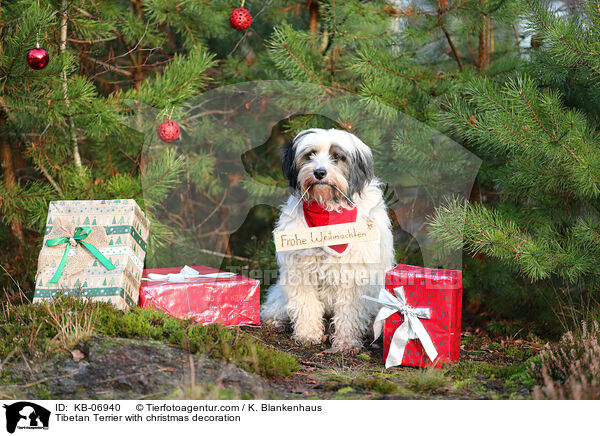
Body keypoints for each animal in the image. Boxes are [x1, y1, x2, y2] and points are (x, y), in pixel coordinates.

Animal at [262, 127, 394, 352]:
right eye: (310, 155)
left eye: (337, 156)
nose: (319, 173)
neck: (328, 211)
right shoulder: (300, 270)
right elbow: (306, 304)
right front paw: (308, 334)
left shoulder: (355, 275)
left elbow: (349, 311)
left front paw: (347, 342)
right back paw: (276, 321)